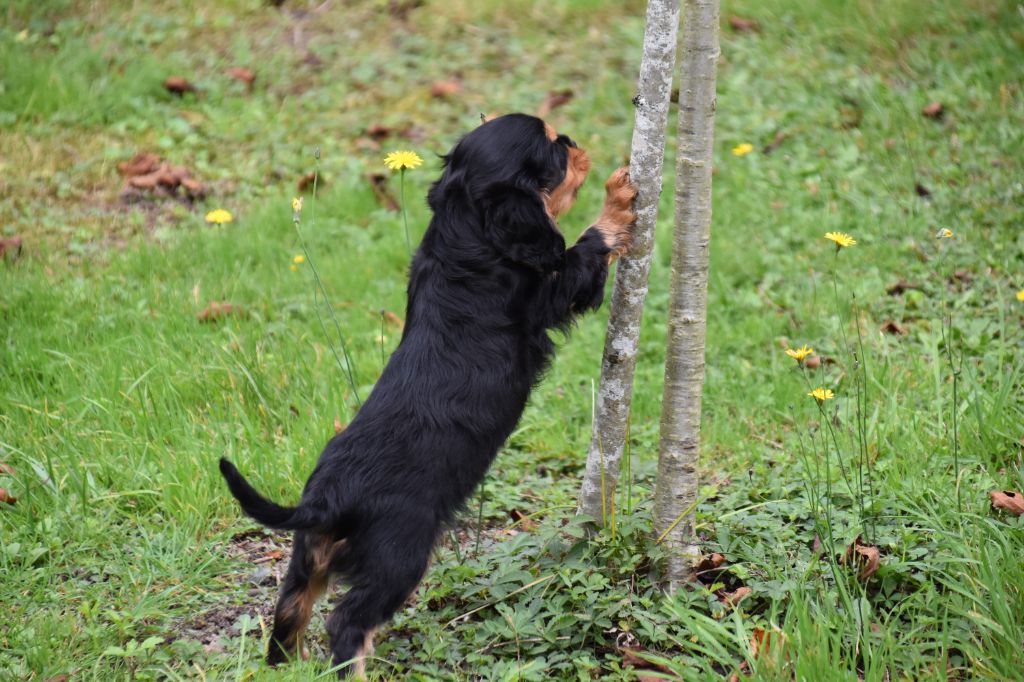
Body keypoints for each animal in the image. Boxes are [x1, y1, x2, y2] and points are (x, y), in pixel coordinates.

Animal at [221, 112, 634, 675]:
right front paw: (618, 199)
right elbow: (586, 246)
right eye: (553, 147)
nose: (574, 142)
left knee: (289, 610)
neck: (464, 233)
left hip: (309, 555)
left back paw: (285, 665)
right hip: (400, 554)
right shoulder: (552, 293)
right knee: (346, 624)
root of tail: (326, 501)